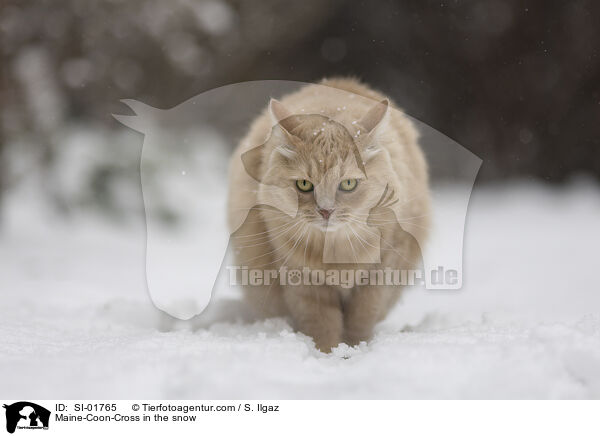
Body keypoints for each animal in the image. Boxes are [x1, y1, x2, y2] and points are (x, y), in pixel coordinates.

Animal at [227, 77, 428, 350]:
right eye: (304, 184)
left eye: (348, 184)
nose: (325, 210)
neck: (336, 253)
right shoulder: (302, 279)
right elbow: (321, 324)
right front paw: (327, 354)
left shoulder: (381, 271)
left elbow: (361, 319)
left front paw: (354, 350)